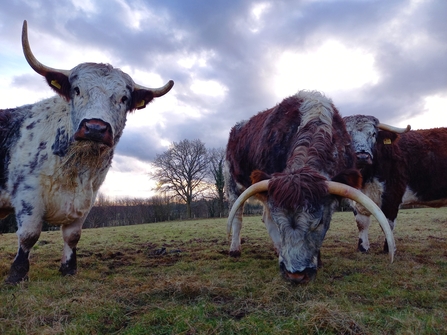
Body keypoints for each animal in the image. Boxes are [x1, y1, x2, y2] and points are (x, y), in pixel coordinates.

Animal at [224, 90, 396, 284]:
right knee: (237, 216)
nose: (296, 274)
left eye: (319, 221)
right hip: (232, 184)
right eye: (279, 222)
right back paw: (235, 249)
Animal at [344, 114, 447, 253]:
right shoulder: (356, 197)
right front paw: (362, 248)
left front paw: (389, 249)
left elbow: (387, 224)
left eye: (374, 134)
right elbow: (361, 223)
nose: (362, 157)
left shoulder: (392, 195)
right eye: (347, 135)